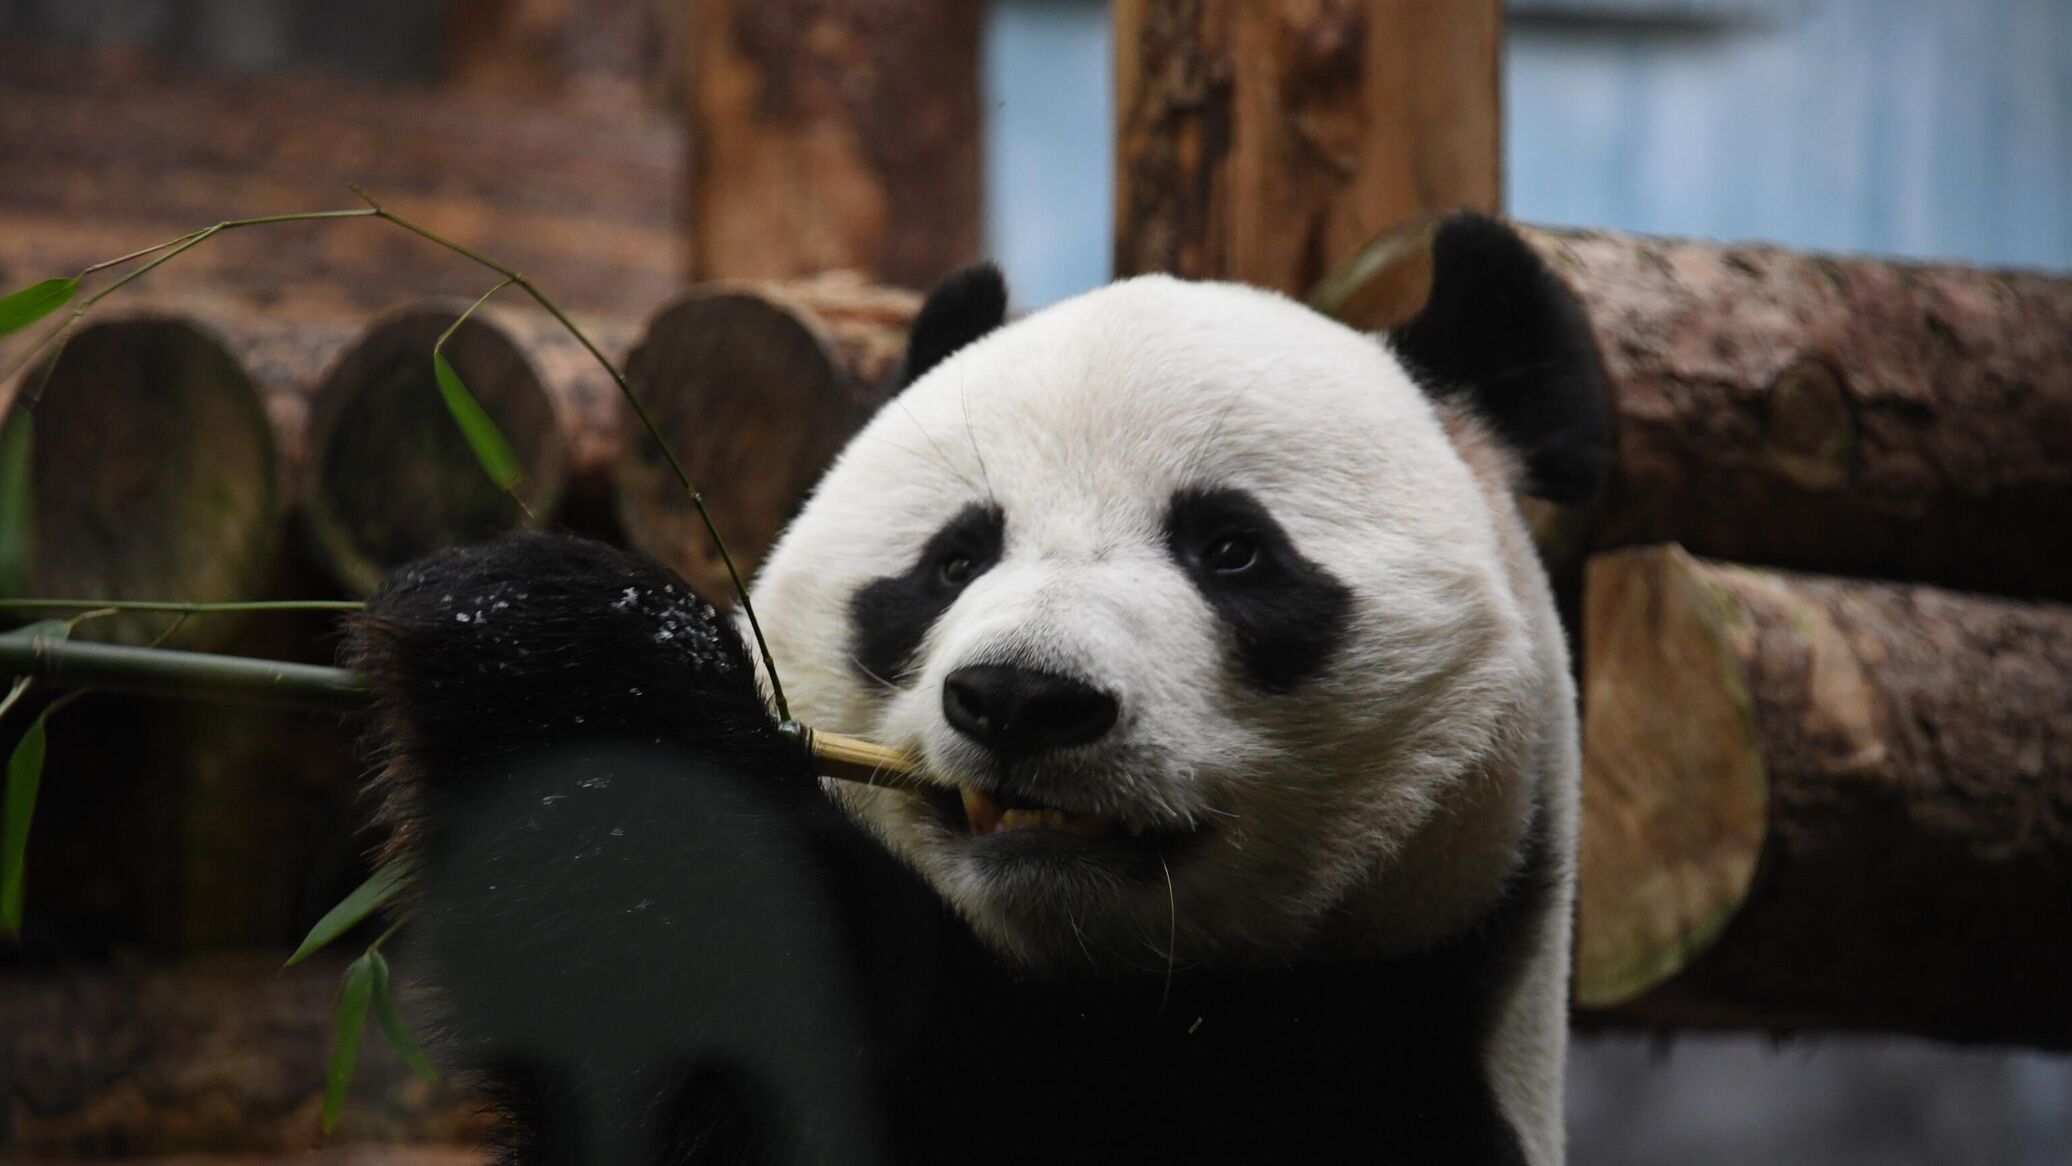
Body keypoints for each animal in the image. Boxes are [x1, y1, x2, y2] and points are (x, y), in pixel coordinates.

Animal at [352, 212, 1599, 1166]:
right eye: (954, 558)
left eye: (1232, 551)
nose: (1022, 696)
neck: (1108, 993)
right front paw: (528, 641)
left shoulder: (1368, 1062)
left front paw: (584, 662)